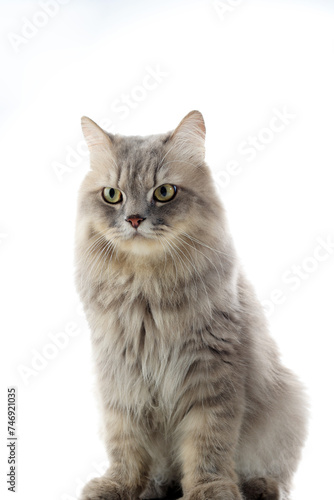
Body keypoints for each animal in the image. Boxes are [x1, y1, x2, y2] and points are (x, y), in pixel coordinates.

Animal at [75, 110, 308, 500]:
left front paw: (210, 490)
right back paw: (155, 487)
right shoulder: (120, 376)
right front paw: (119, 485)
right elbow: (125, 443)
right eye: (112, 195)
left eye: (164, 192)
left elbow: (207, 444)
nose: (134, 219)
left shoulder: (211, 375)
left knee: (271, 474)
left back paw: (256, 487)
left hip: (288, 409)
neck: (147, 290)